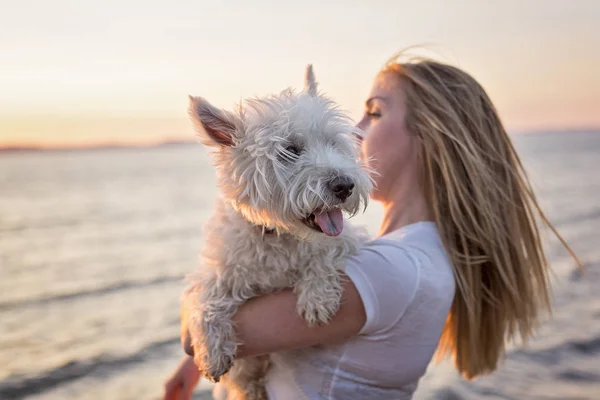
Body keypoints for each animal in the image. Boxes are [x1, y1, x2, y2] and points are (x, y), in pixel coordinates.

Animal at [180, 66, 372, 400]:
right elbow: (205, 297)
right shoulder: (221, 270)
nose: (345, 185)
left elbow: (326, 252)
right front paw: (212, 351)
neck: (277, 236)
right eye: (290, 150)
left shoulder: (350, 239)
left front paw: (317, 297)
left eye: (332, 143)